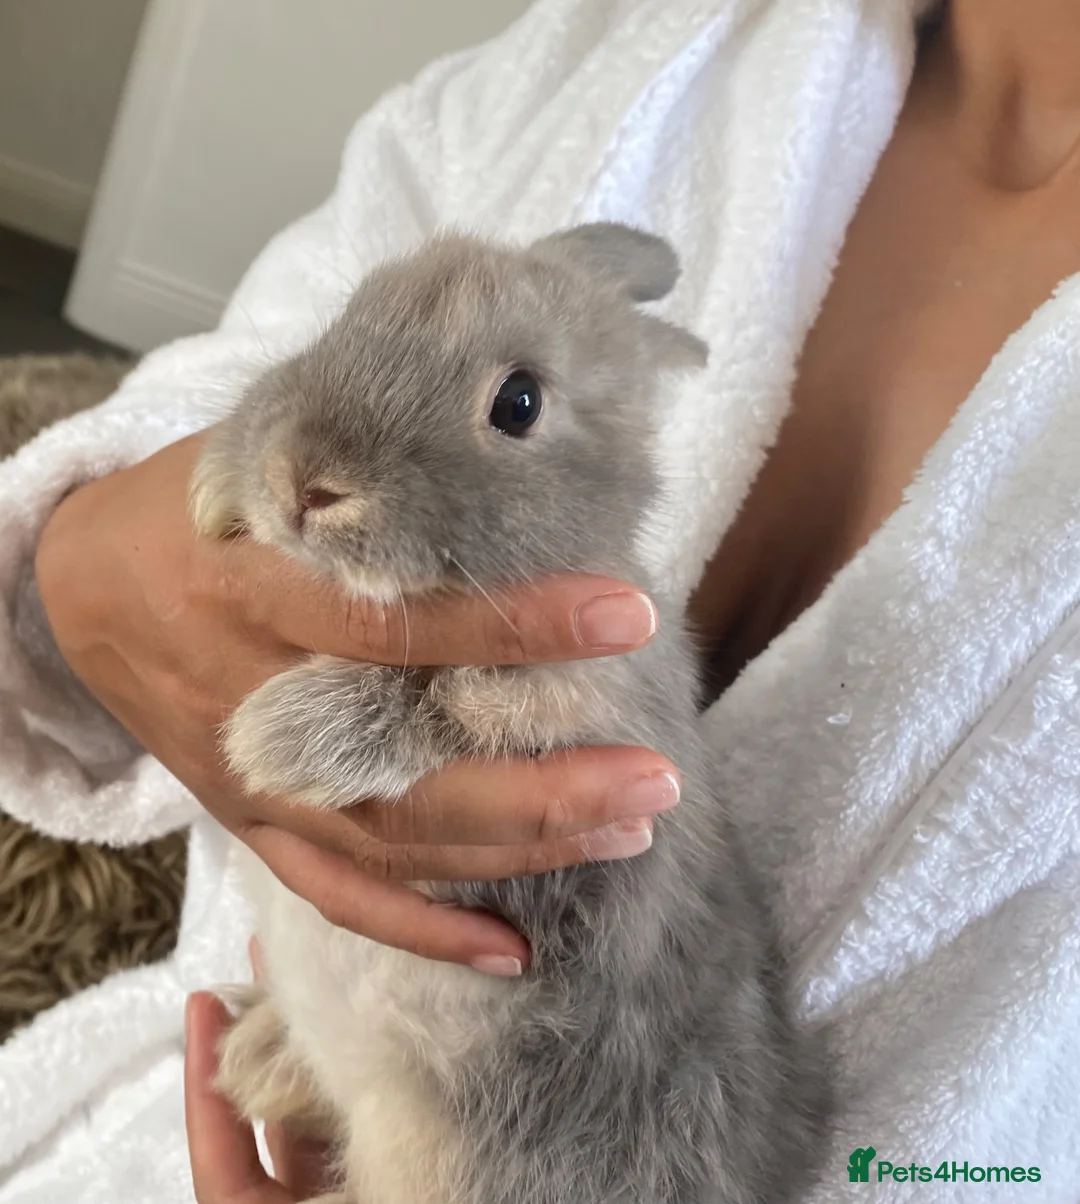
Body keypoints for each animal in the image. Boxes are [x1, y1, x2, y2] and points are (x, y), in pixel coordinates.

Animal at [190, 223, 832, 1204]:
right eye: (356, 310)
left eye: (520, 403)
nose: (303, 481)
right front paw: (215, 482)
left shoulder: (583, 728)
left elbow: (449, 704)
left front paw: (279, 739)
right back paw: (254, 1055)